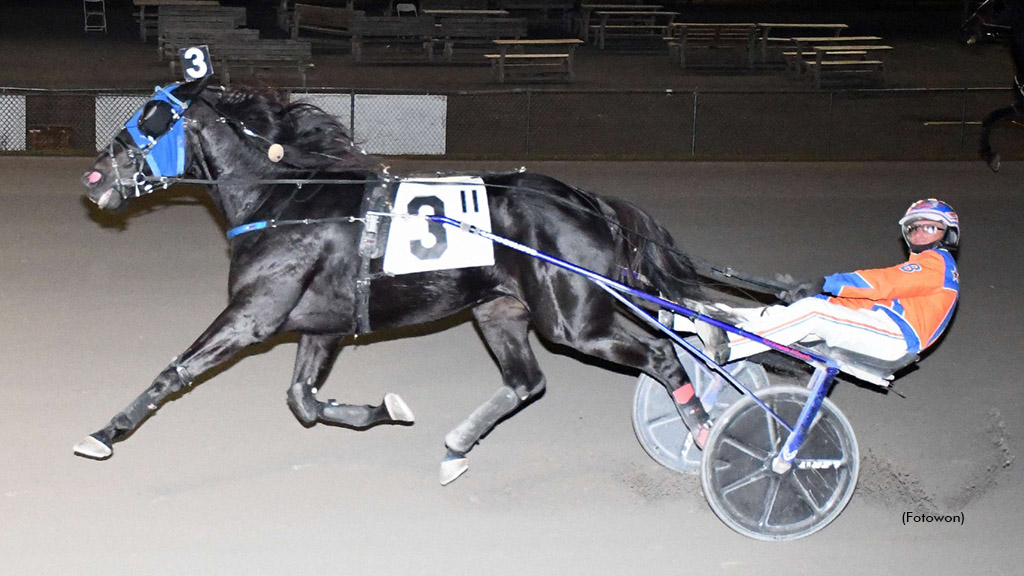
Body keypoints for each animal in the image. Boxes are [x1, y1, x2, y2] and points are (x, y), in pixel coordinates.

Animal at [75, 78, 724, 481]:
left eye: (149, 120)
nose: (93, 178)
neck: (284, 199)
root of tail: (588, 202)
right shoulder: (322, 326)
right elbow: (303, 401)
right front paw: (386, 410)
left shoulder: (253, 315)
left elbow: (176, 370)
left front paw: (106, 431)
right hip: (500, 309)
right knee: (527, 380)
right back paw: (457, 446)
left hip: (574, 319)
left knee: (661, 353)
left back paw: (705, 433)